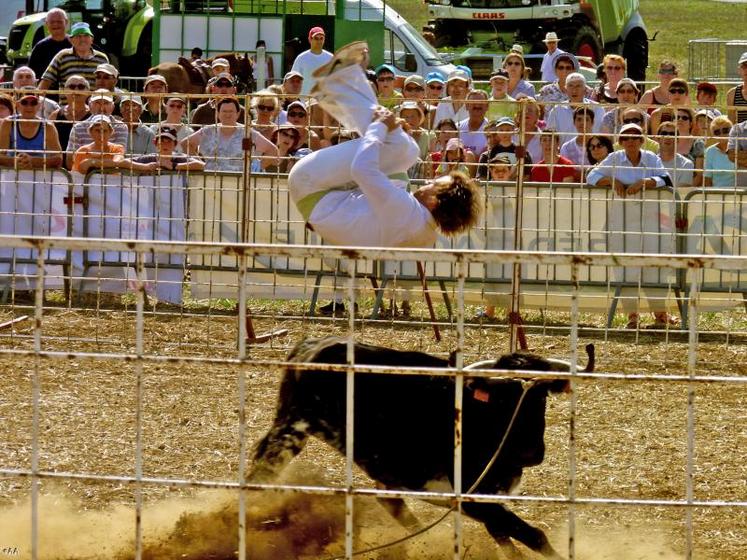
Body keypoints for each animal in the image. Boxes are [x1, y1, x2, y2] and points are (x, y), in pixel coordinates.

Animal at [251, 336, 596, 556]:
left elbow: (508, 537)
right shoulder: (473, 498)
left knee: (391, 501)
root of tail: (309, 346)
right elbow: (531, 535)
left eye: (541, 397)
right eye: (502, 399)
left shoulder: (484, 499)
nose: (532, 453)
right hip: (291, 430)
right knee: (261, 473)